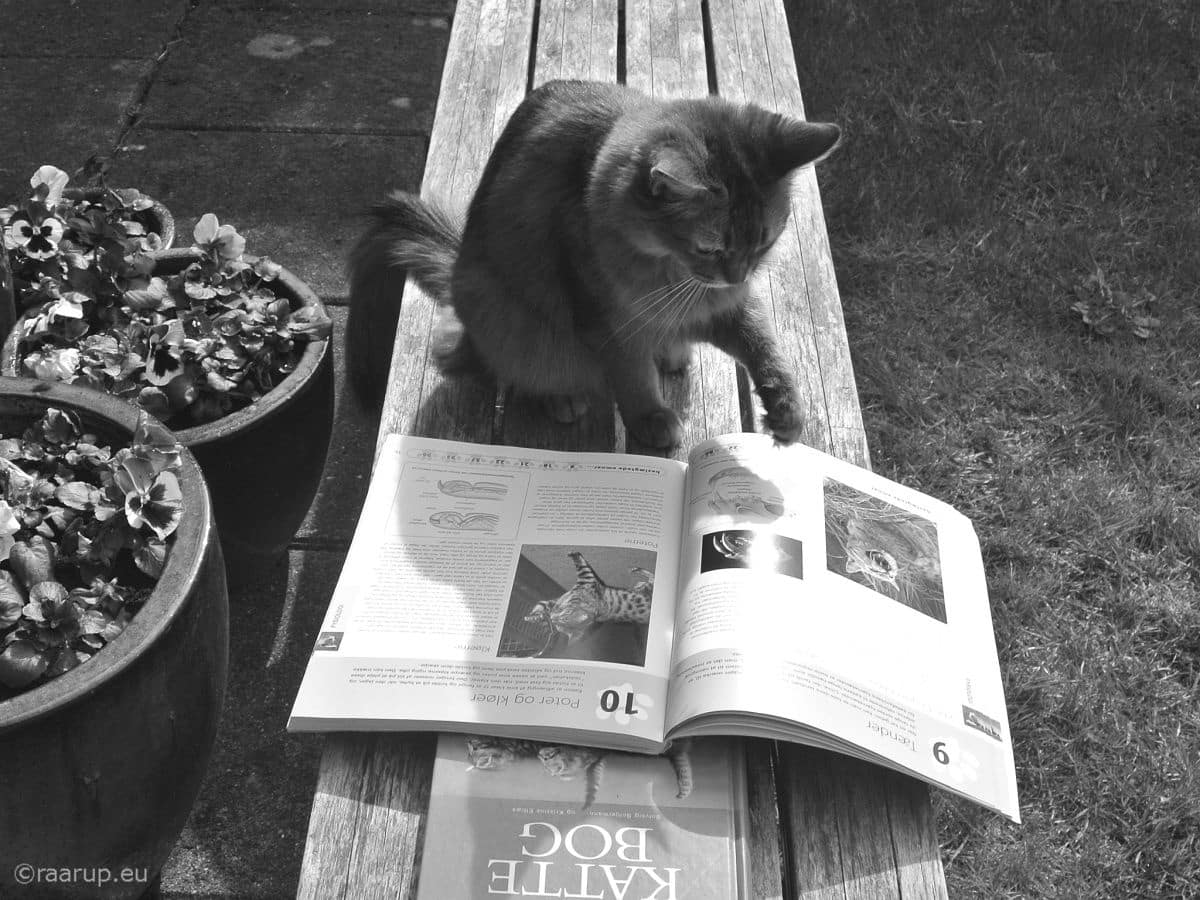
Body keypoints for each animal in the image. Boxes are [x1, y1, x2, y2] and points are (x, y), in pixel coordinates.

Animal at [345, 78, 835, 451]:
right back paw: (562, 397)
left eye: (764, 242)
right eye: (710, 248)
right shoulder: (608, 321)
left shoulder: (723, 304)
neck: (668, 271)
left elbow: (762, 343)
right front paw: (651, 418)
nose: (738, 274)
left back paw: (672, 353)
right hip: (510, 316)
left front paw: (787, 408)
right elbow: (633, 376)